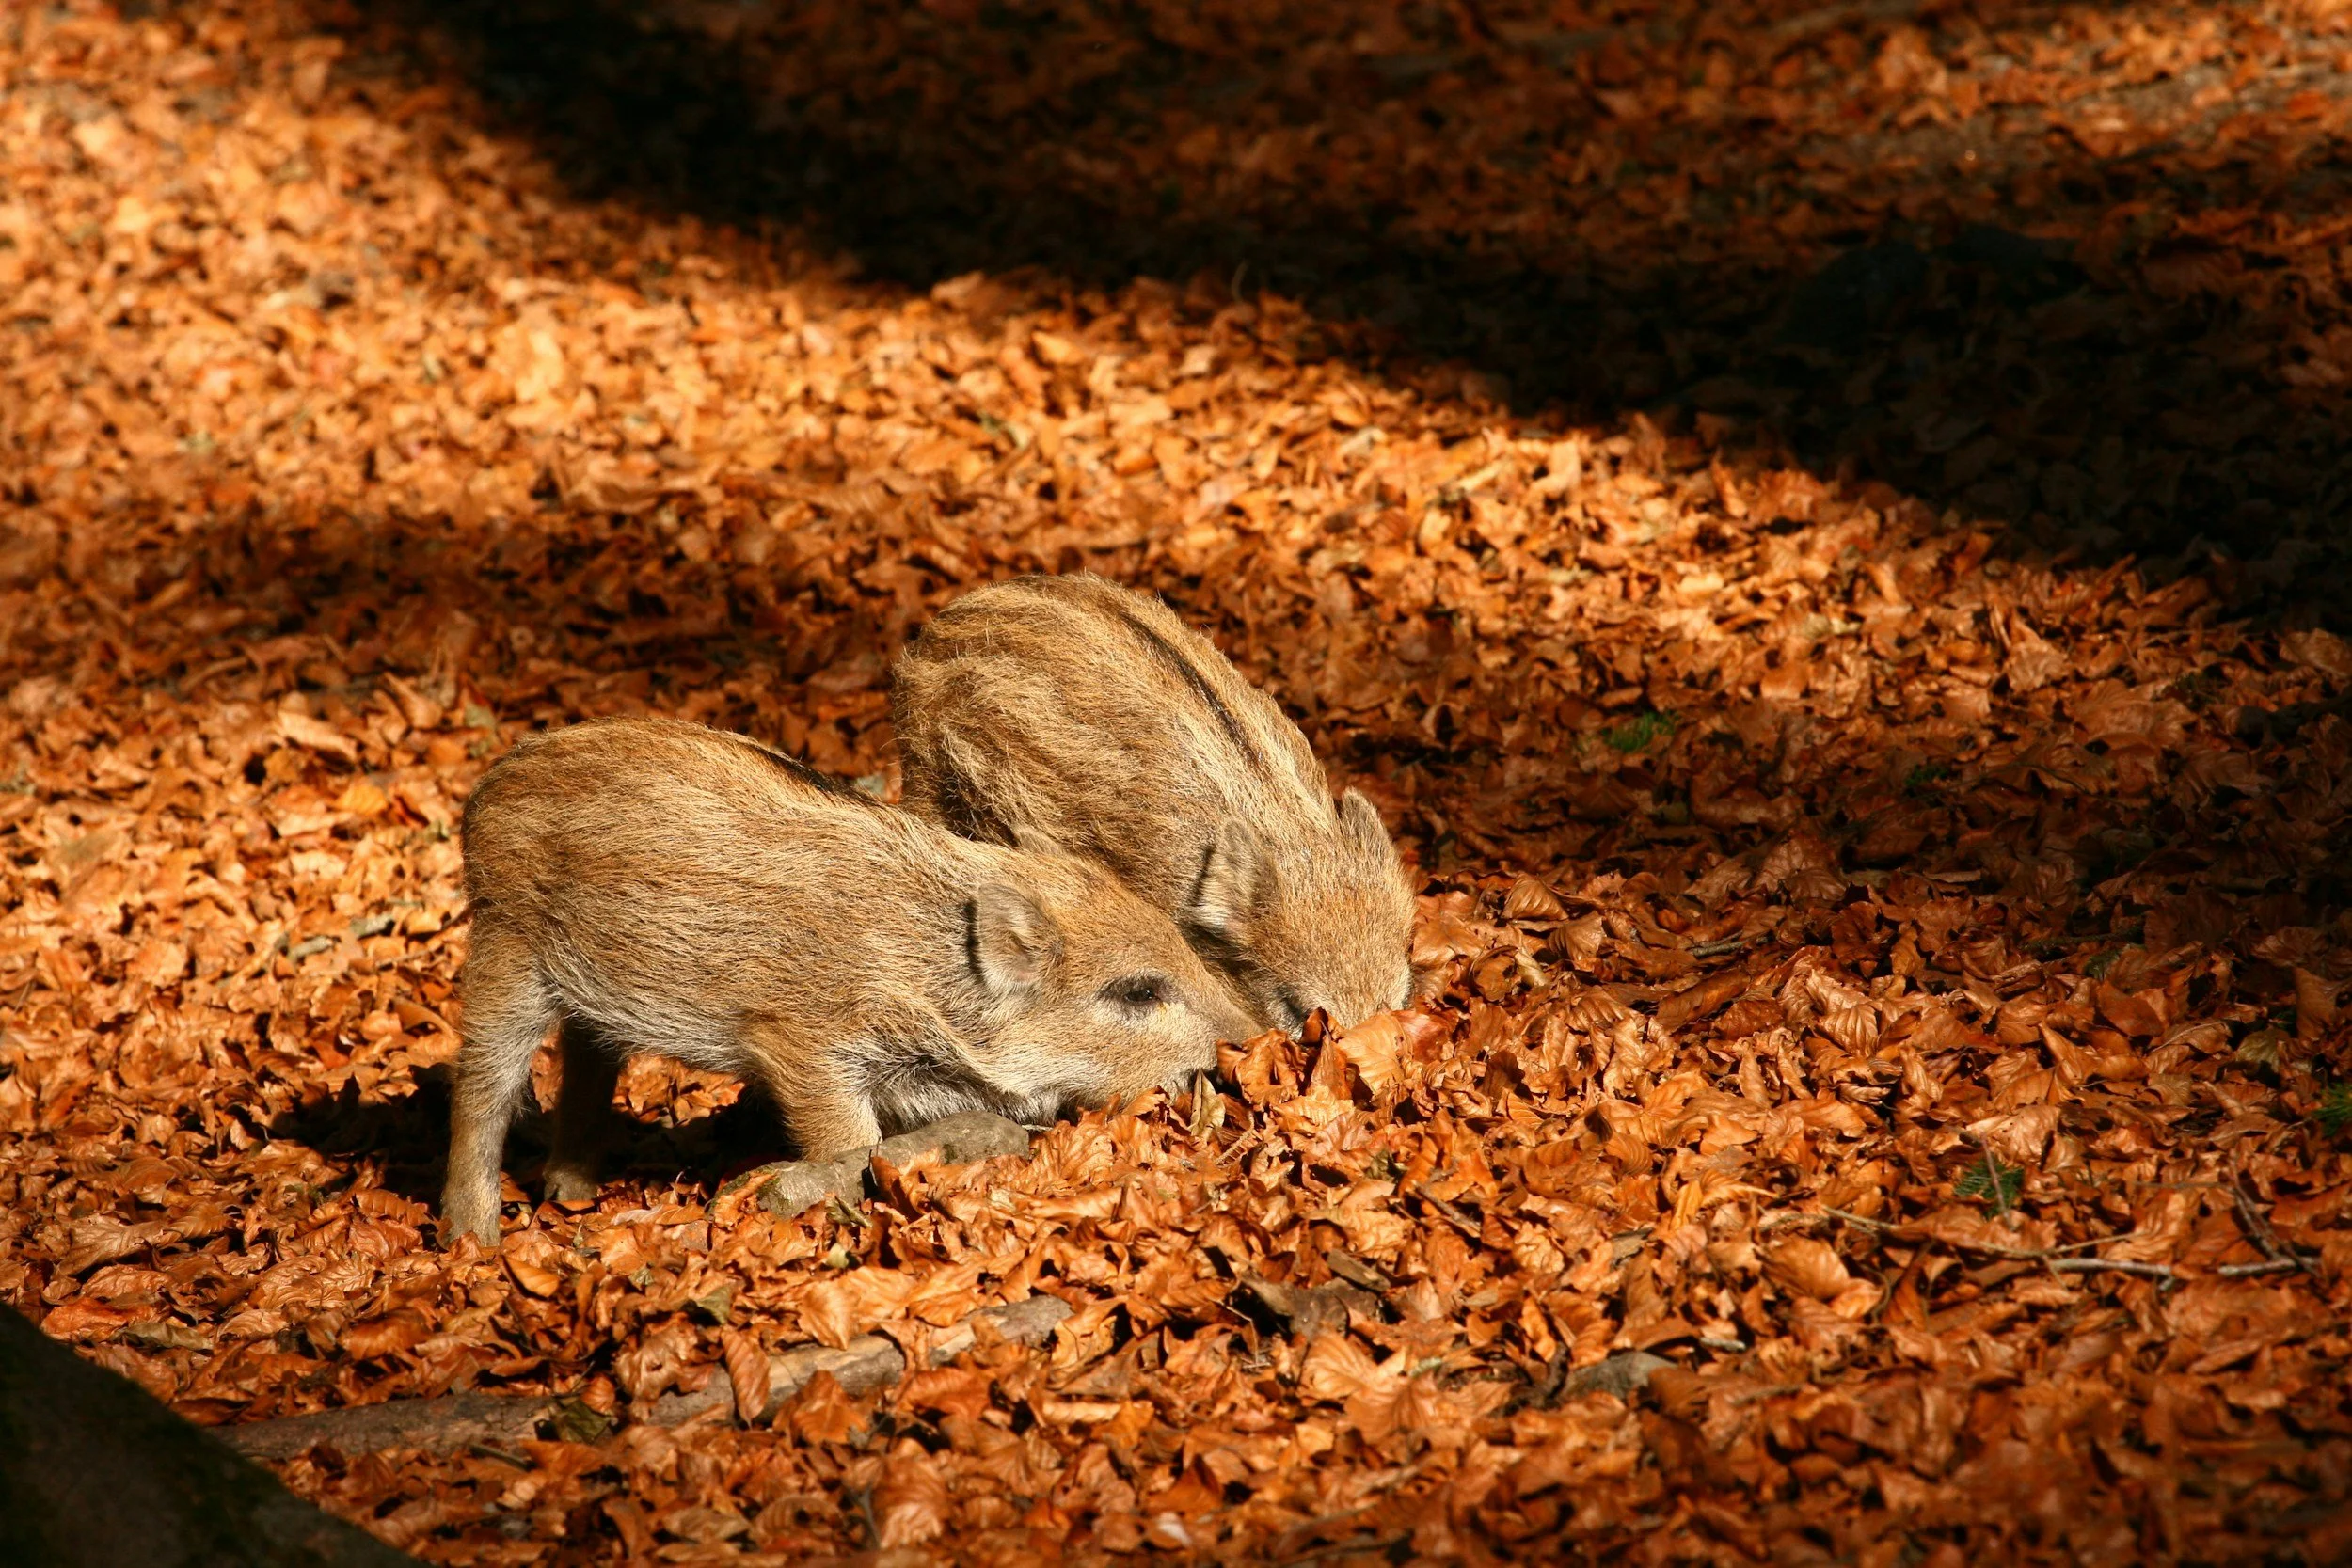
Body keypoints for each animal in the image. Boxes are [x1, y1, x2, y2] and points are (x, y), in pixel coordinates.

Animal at [441, 715, 1255, 1247]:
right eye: (1136, 991)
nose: (1250, 1038)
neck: (929, 970)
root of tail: (488, 786)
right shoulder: (806, 1046)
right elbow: (849, 1142)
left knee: (586, 1063)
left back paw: (573, 1192)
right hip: (506, 949)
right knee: (482, 1089)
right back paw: (474, 1238)